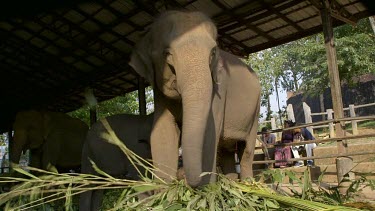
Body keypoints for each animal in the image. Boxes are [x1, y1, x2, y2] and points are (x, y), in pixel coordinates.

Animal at [130, 10, 262, 187]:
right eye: (168, 54)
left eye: (213, 53)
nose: (182, 176)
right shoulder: (159, 93)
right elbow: (161, 133)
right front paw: (165, 191)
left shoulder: (219, 88)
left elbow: (210, 133)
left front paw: (207, 189)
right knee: (226, 149)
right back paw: (231, 182)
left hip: (255, 110)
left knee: (246, 150)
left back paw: (248, 185)